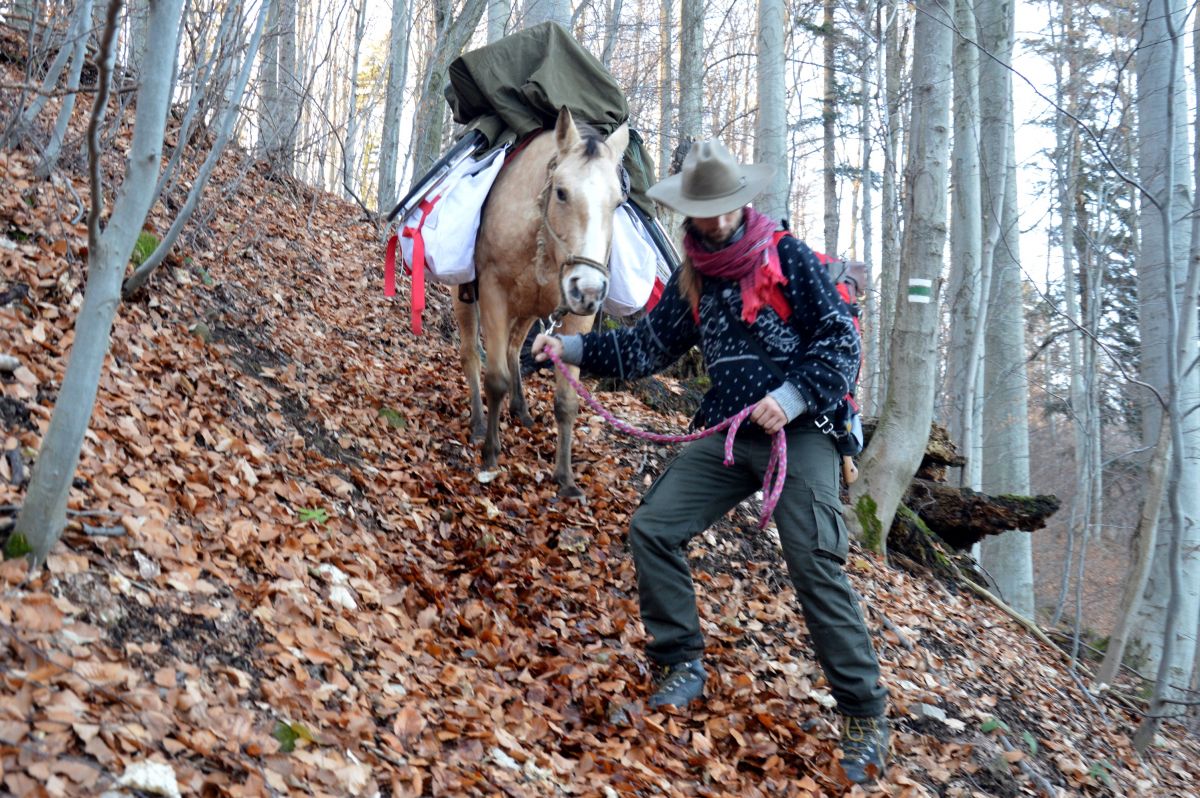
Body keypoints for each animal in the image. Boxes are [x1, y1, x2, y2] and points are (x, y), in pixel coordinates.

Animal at [453, 106, 633, 499]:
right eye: (562, 192)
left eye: (618, 202)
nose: (589, 290)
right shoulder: (493, 295)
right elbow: (495, 379)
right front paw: (490, 454)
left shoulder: (574, 319)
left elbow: (567, 400)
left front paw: (565, 478)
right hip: (468, 296)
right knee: (471, 354)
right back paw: (478, 422)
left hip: (528, 311)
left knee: (512, 348)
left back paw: (520, 409)